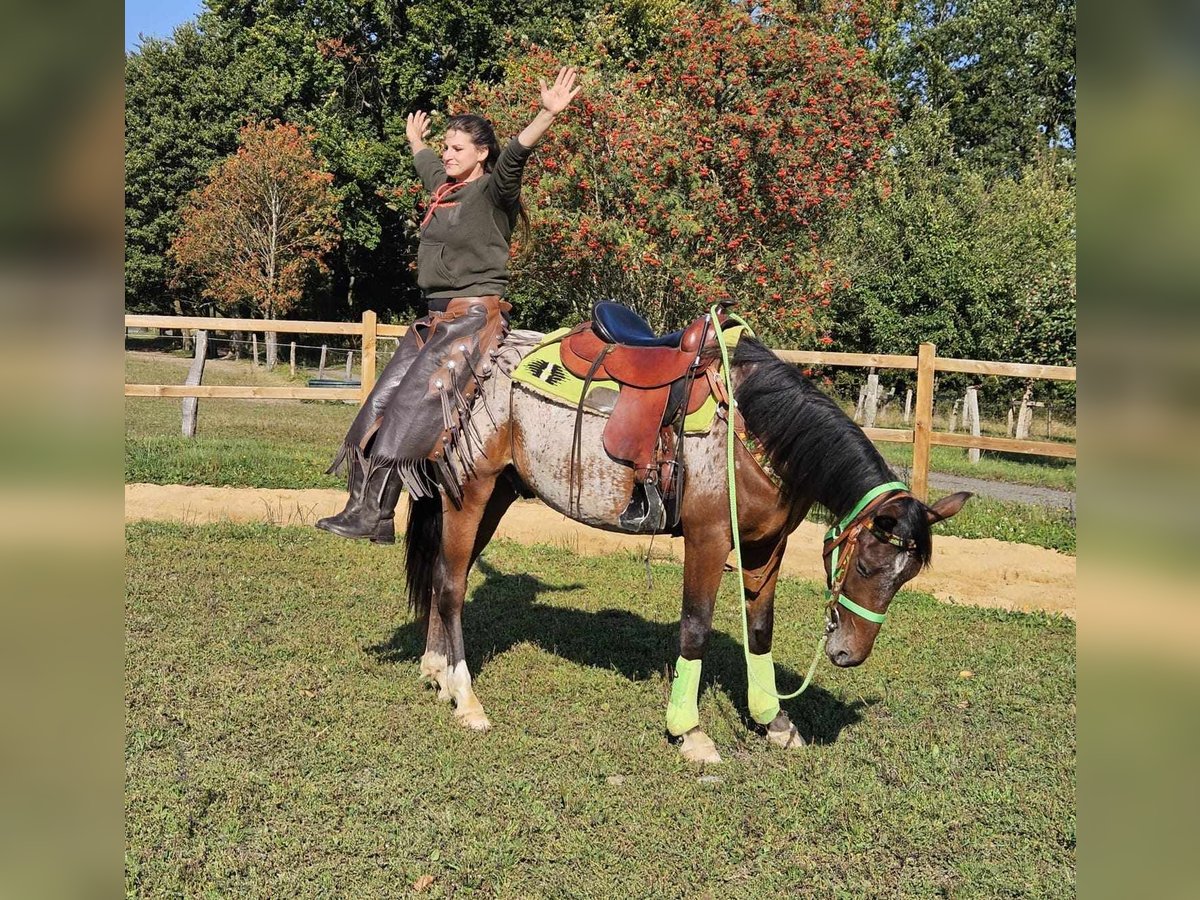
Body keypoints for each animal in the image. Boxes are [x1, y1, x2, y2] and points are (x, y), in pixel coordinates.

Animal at [400, 324, 964, 763]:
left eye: (906, 578)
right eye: (867, 567)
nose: (849, 654)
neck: (755, 427)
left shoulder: (767, 545)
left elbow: (761, 630)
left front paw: (774, 720)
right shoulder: (708, 538)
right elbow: (695, 628)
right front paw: (689, 731)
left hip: (498, 492)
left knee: (448, 576)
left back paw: (436, 672)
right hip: (470, 491)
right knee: (451, 587)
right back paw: (466, 698)